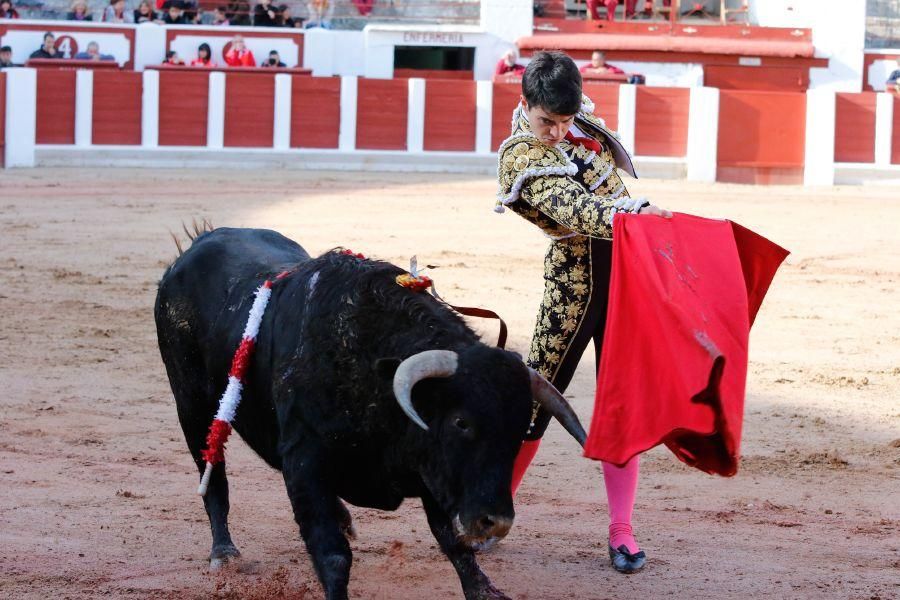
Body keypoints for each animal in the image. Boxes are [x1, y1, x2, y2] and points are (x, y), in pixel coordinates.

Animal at [153, 229, 592, 600]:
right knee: (212, 473)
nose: (495, 521)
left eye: (520, 429)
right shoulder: (306, 460)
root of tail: (194, 247)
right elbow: (332, 554)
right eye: (460, 422)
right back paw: (224, 552)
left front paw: (485, 590)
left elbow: (453, 543)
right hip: (192, 405)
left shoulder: (430, 468)